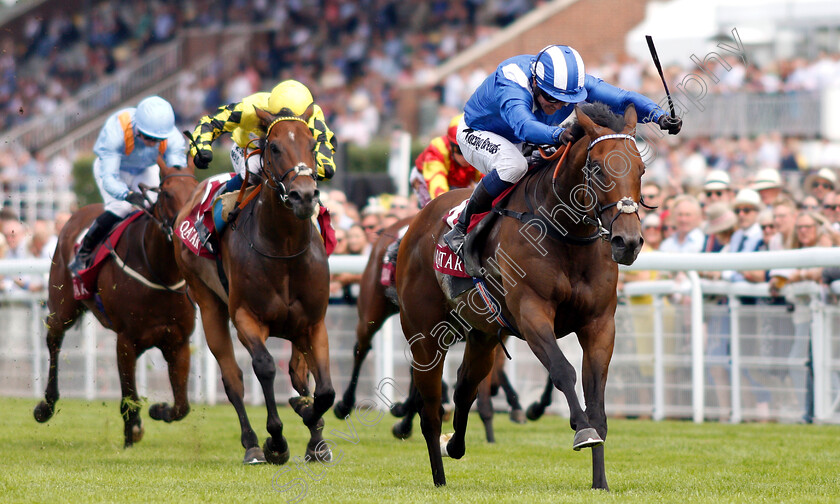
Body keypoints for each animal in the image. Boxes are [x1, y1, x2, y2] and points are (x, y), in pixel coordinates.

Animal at [34, 160, 199, 444]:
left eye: (197, 189)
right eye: (167, 193)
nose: (184, 231)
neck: (160, 273)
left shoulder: (178, 341)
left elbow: (182, 407)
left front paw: (158, 410)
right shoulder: (126, 340)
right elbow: (129, 392)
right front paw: (133, 425)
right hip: (63, 307)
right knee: (53, 341)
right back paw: (46, 405)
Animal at [173, 109, 332, 464]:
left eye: (312, 144)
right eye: (273, 147)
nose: (304, 196)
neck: (284, 249)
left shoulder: (314, 323)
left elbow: (325, 390)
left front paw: (312, 426)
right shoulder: (246, 316)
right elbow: (265, 367)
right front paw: (277, 441)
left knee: (299, 375)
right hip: (208, 303)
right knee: (233, 379)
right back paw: (253, 443)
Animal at [398, 103, 648, 492]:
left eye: (641, 169)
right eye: (596, 168)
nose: (628, 241)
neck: (567, 234)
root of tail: (416, 223)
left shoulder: (600, 324)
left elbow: (596, 397)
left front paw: (600, 482)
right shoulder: (532, 313)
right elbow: (562, 371)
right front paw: (582, 431)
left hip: (483, 335)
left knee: (465, 387)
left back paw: (455, 445)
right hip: (423, 337)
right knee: (431, 411)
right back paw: (439, 477)